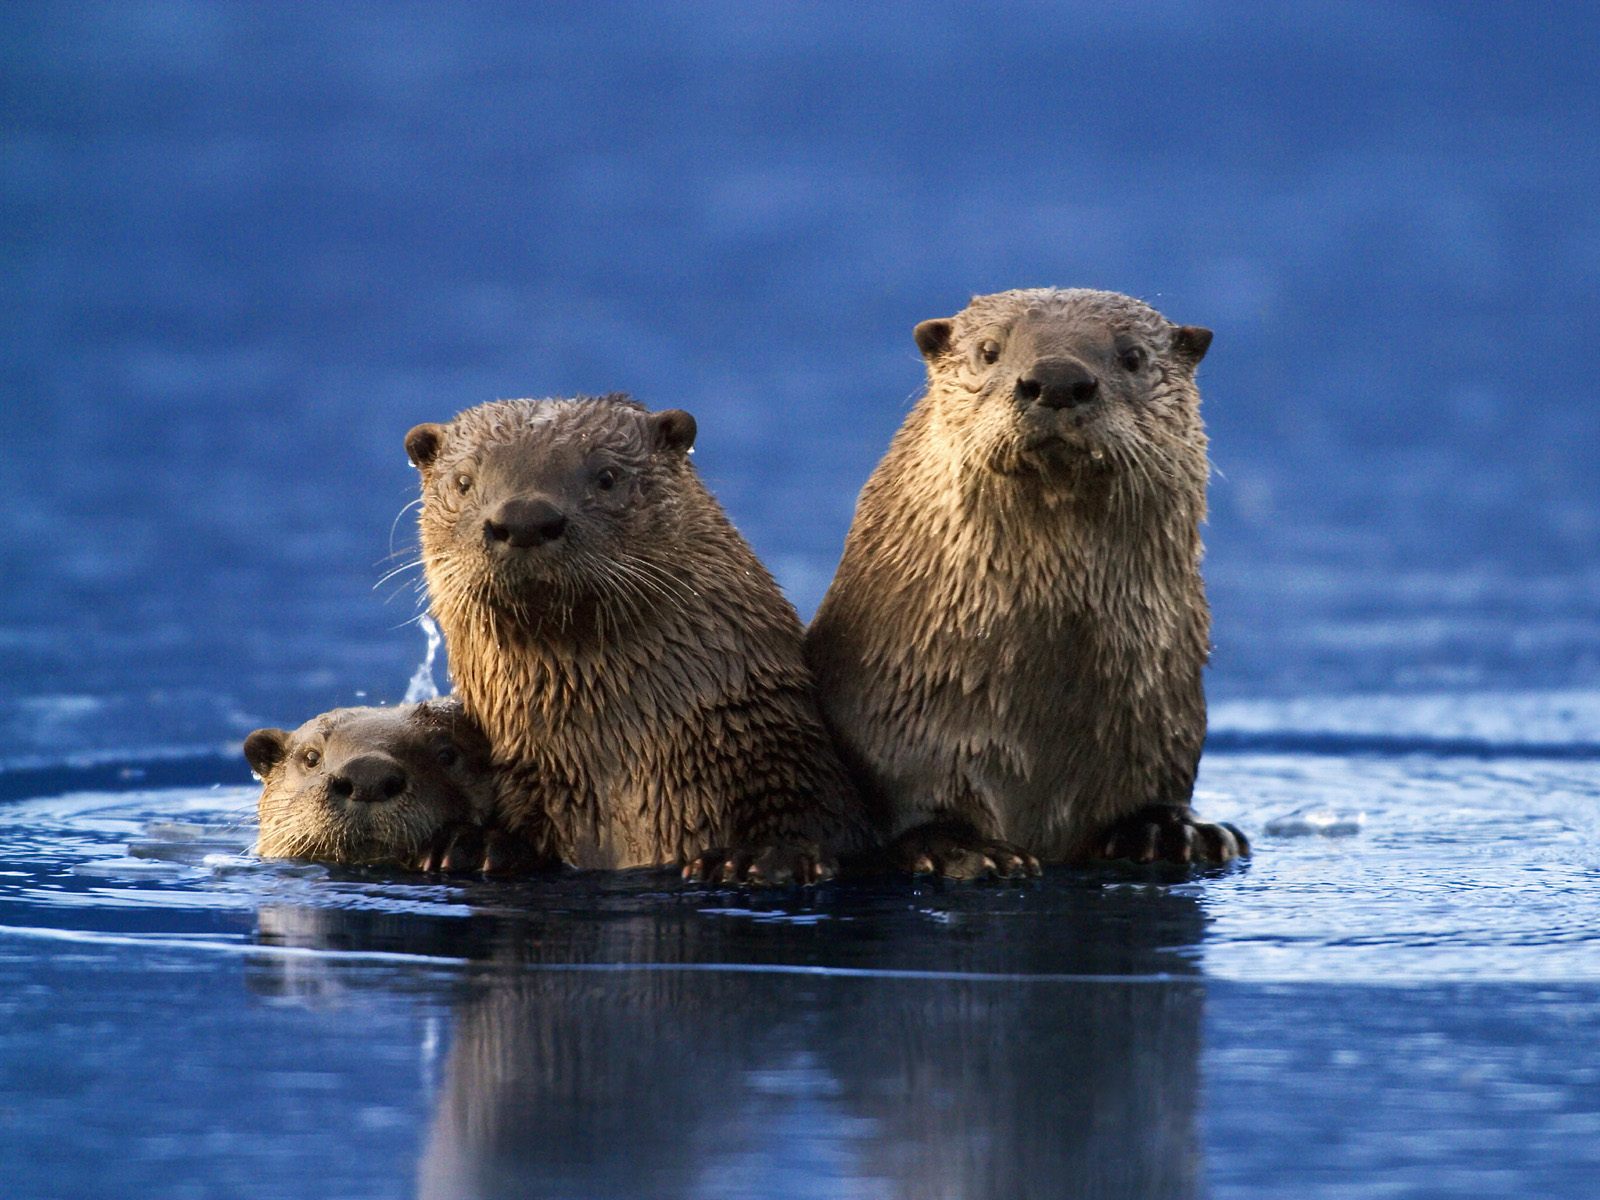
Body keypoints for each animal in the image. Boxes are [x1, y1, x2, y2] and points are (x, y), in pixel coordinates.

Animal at [406, 395, 870, 883]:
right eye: (463, 481)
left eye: (608, 476)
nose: (524, 520)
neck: (618, 766)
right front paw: (476, 845)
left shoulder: (784, 752)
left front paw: (767, 855)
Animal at [806, 286, 1241, 876]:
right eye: (989, 350)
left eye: (1133, 356)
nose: (1057, 378)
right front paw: (961, 849)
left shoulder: (1163, 721)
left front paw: (1170, 830)